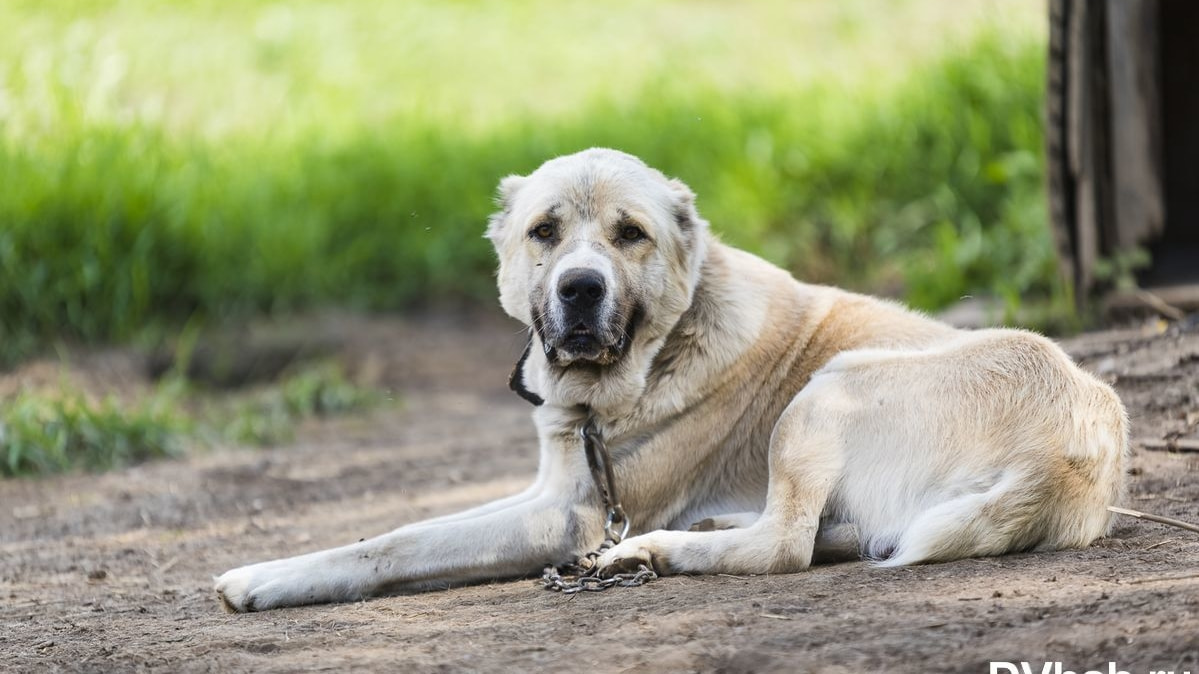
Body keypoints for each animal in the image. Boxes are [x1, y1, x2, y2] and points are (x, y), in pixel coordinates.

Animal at [213, 146, 1122, 609]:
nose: (581, 289)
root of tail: (1076, 452)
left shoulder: (567, 518)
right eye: (544, 231)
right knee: (829, 535)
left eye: (630, 234)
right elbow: (409, 525)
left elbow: (396, 541)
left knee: (782, 548)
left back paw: (654, 550)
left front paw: (262, 577)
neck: (652, 356)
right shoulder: (552, 493)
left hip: (828, 386)